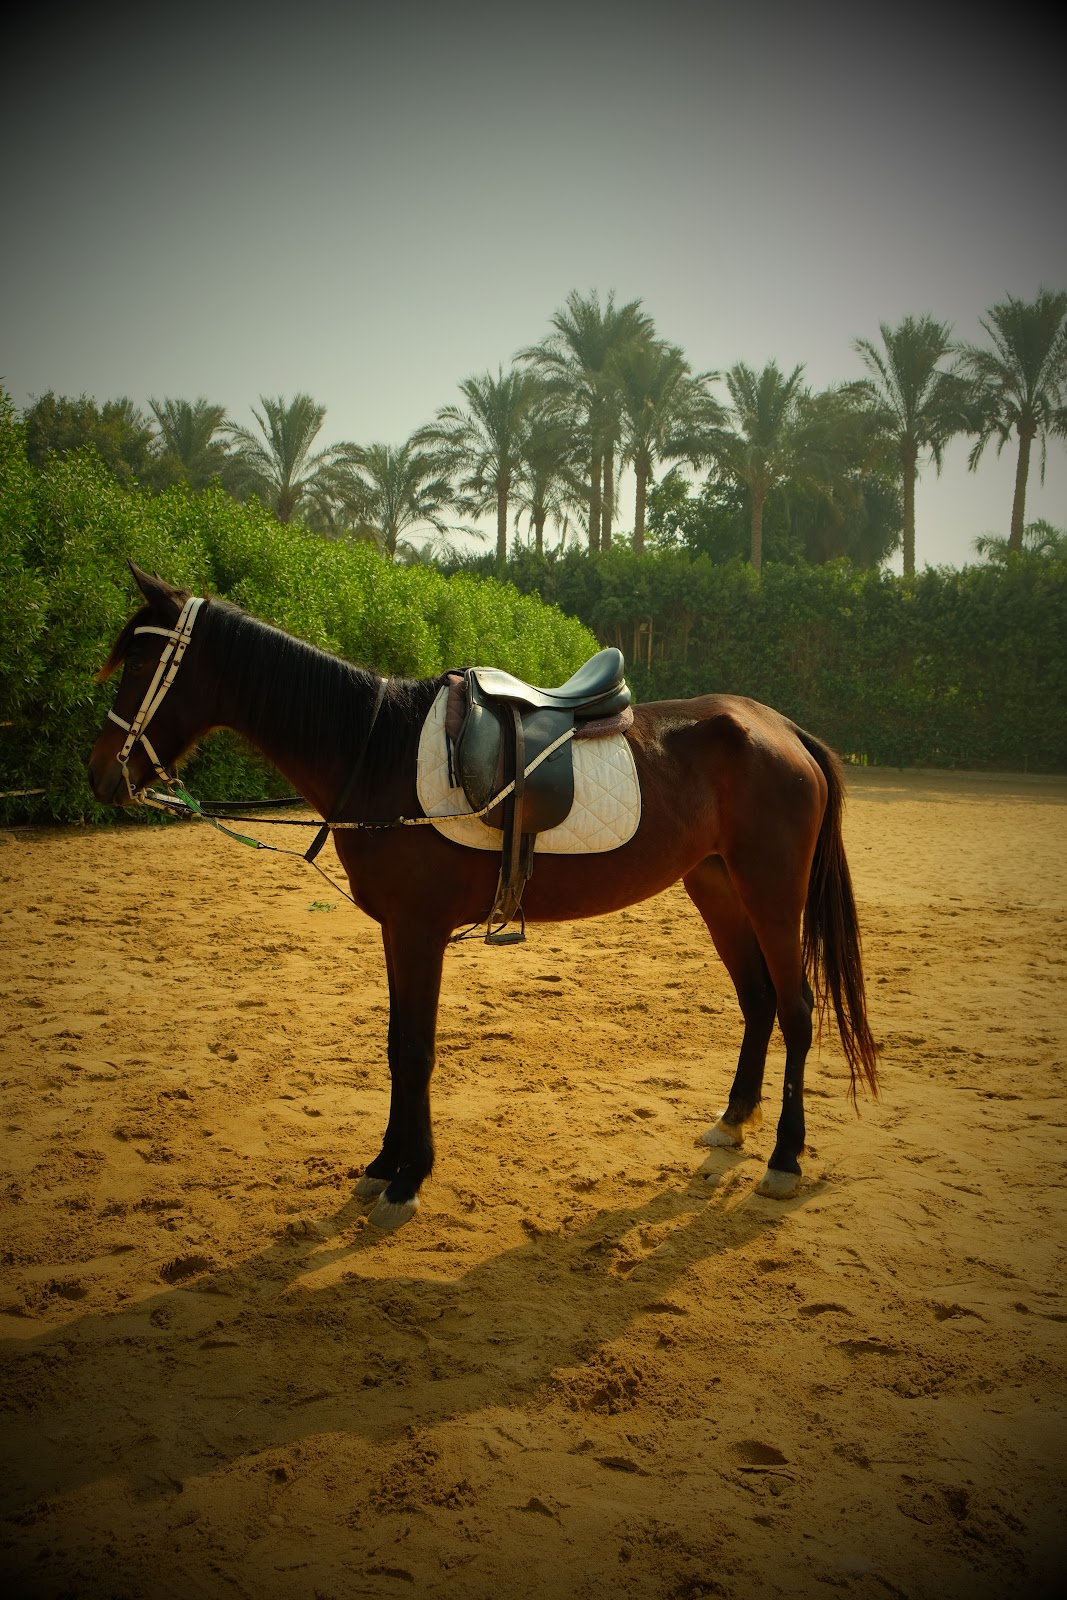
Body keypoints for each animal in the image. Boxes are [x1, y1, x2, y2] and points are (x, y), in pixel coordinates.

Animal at [89, 564, 878, 1232]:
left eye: (142, 665)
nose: (100, 775)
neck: (374, 752)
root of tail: (779, 728)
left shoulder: (418, 930)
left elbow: (415, 1051)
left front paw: (408, 1179)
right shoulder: (396, 931)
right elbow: (395, 1044)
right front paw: (383, 1165)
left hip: (771, 891)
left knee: (797, 1008)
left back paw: (784, 1157)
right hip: (717, 887)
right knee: (758, 1000)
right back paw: (734, 1120)